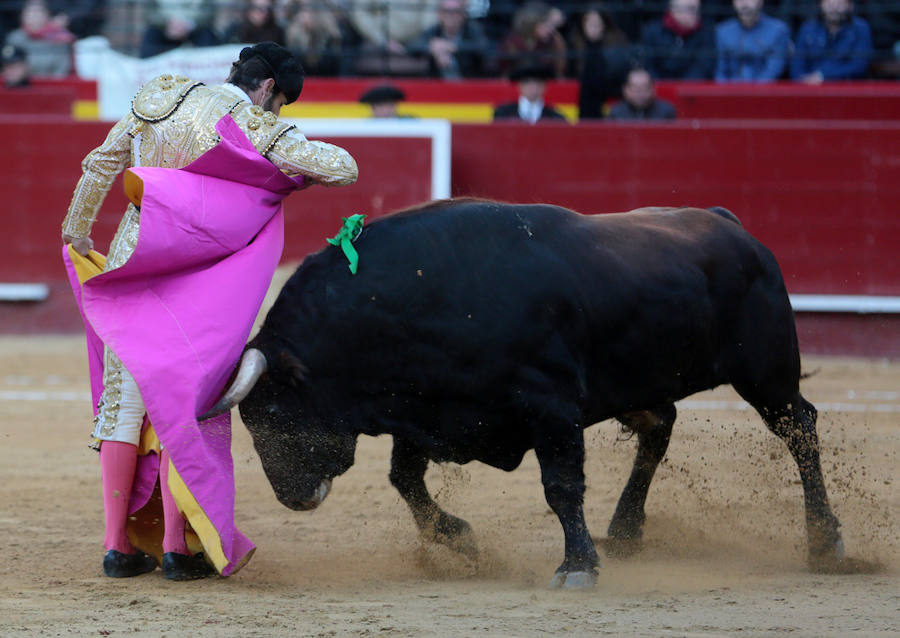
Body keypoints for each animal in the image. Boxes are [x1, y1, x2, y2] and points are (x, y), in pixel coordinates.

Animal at [204, 200, 844, 592]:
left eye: (273, 413)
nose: (291, 498)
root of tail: (729, 223)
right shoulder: (424, 410)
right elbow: (403, 479)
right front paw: (461, 540)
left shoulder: (551, 409)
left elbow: (561, 487)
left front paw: (577, 568)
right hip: (643, 383)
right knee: (660, 427)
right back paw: (626, 530)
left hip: (767, 373)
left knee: (801, 431)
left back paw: (826, 542)